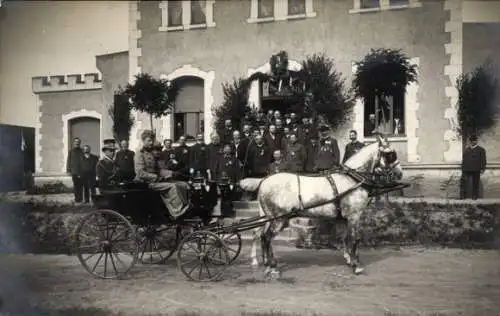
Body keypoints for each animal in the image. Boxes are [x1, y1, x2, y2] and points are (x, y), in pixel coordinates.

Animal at [237, 135, 402, 276]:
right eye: (391, 154)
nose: (400, 173)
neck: (352, 179)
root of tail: (263, 180)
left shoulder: (343, 218)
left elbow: (345, 238)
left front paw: (349, 259)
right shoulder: (354, 216)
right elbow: (355, 239)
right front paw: (357, 266)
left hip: (269, 217)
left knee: (260, 235)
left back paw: (266, 263)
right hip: (278, 219)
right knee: (266, 237)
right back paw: (272, 266)